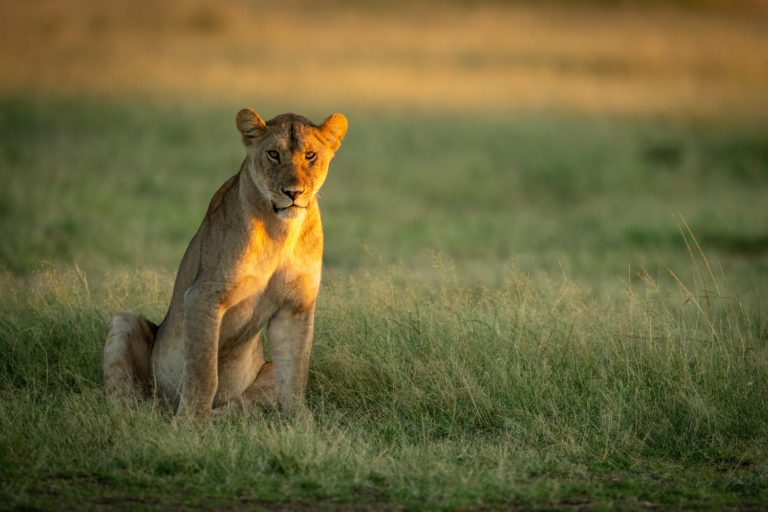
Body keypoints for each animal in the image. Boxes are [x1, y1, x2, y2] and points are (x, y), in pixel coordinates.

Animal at [103, 110, 348, 418]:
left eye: (310, 155)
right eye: (273, 154)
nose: (293, 192)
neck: (280, 232)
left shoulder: (295, 307)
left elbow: (295, 378)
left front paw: (303, 424)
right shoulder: (203, 297)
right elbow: (204, 373)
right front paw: (190, 424)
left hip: (265, 372)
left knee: (238, 406)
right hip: (124, 322)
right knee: (128, 400)